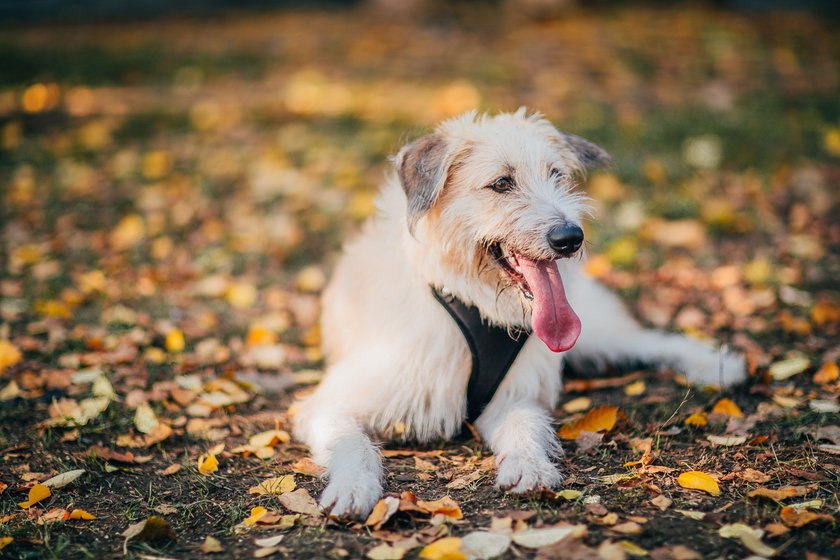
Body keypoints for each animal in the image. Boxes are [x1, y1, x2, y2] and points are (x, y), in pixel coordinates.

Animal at [292, 110, 744, 520]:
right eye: (501, 183)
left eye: (557, 175)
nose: (570, 238)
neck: (474, 303)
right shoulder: (336, 400)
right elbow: (351, 443)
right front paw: (353, 486)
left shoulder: (511, 396)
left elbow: (525, 427)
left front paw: (529, 466)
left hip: (592, 332)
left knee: (648, 339)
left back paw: (714, 364)